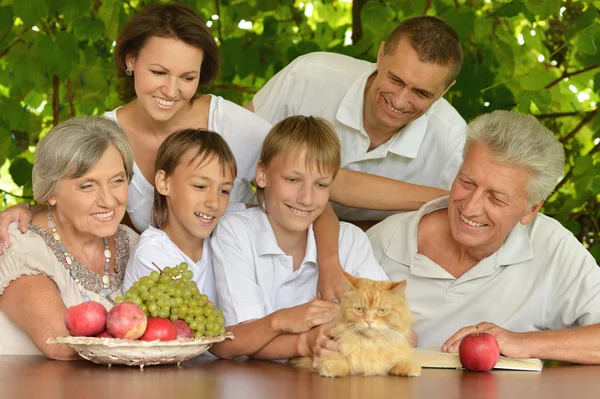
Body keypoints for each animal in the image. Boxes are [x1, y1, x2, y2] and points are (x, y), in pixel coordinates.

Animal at [292, 274, 420, 380]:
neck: (369, 344)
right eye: (360, 310)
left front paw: (409, 367)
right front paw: (333, 367)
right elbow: (338, 359)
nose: (369, 321)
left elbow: (400, 361)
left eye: (382, 311)